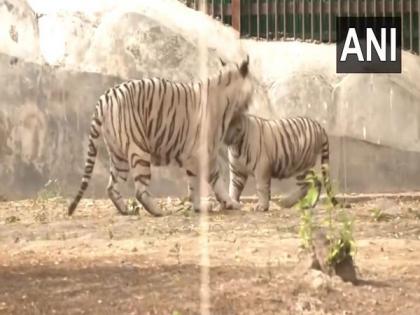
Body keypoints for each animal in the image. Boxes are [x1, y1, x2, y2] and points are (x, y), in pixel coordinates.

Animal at [68, 56, 253, 217]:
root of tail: (106, 97)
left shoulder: (194, 156)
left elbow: (197, 183)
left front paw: (201, 206)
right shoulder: (204, 153)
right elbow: (212, 181)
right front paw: (228, 203)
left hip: (118, 153)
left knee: (112, 186)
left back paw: (125, 210)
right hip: (139, 149)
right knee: (140, 190)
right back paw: (158, 211)